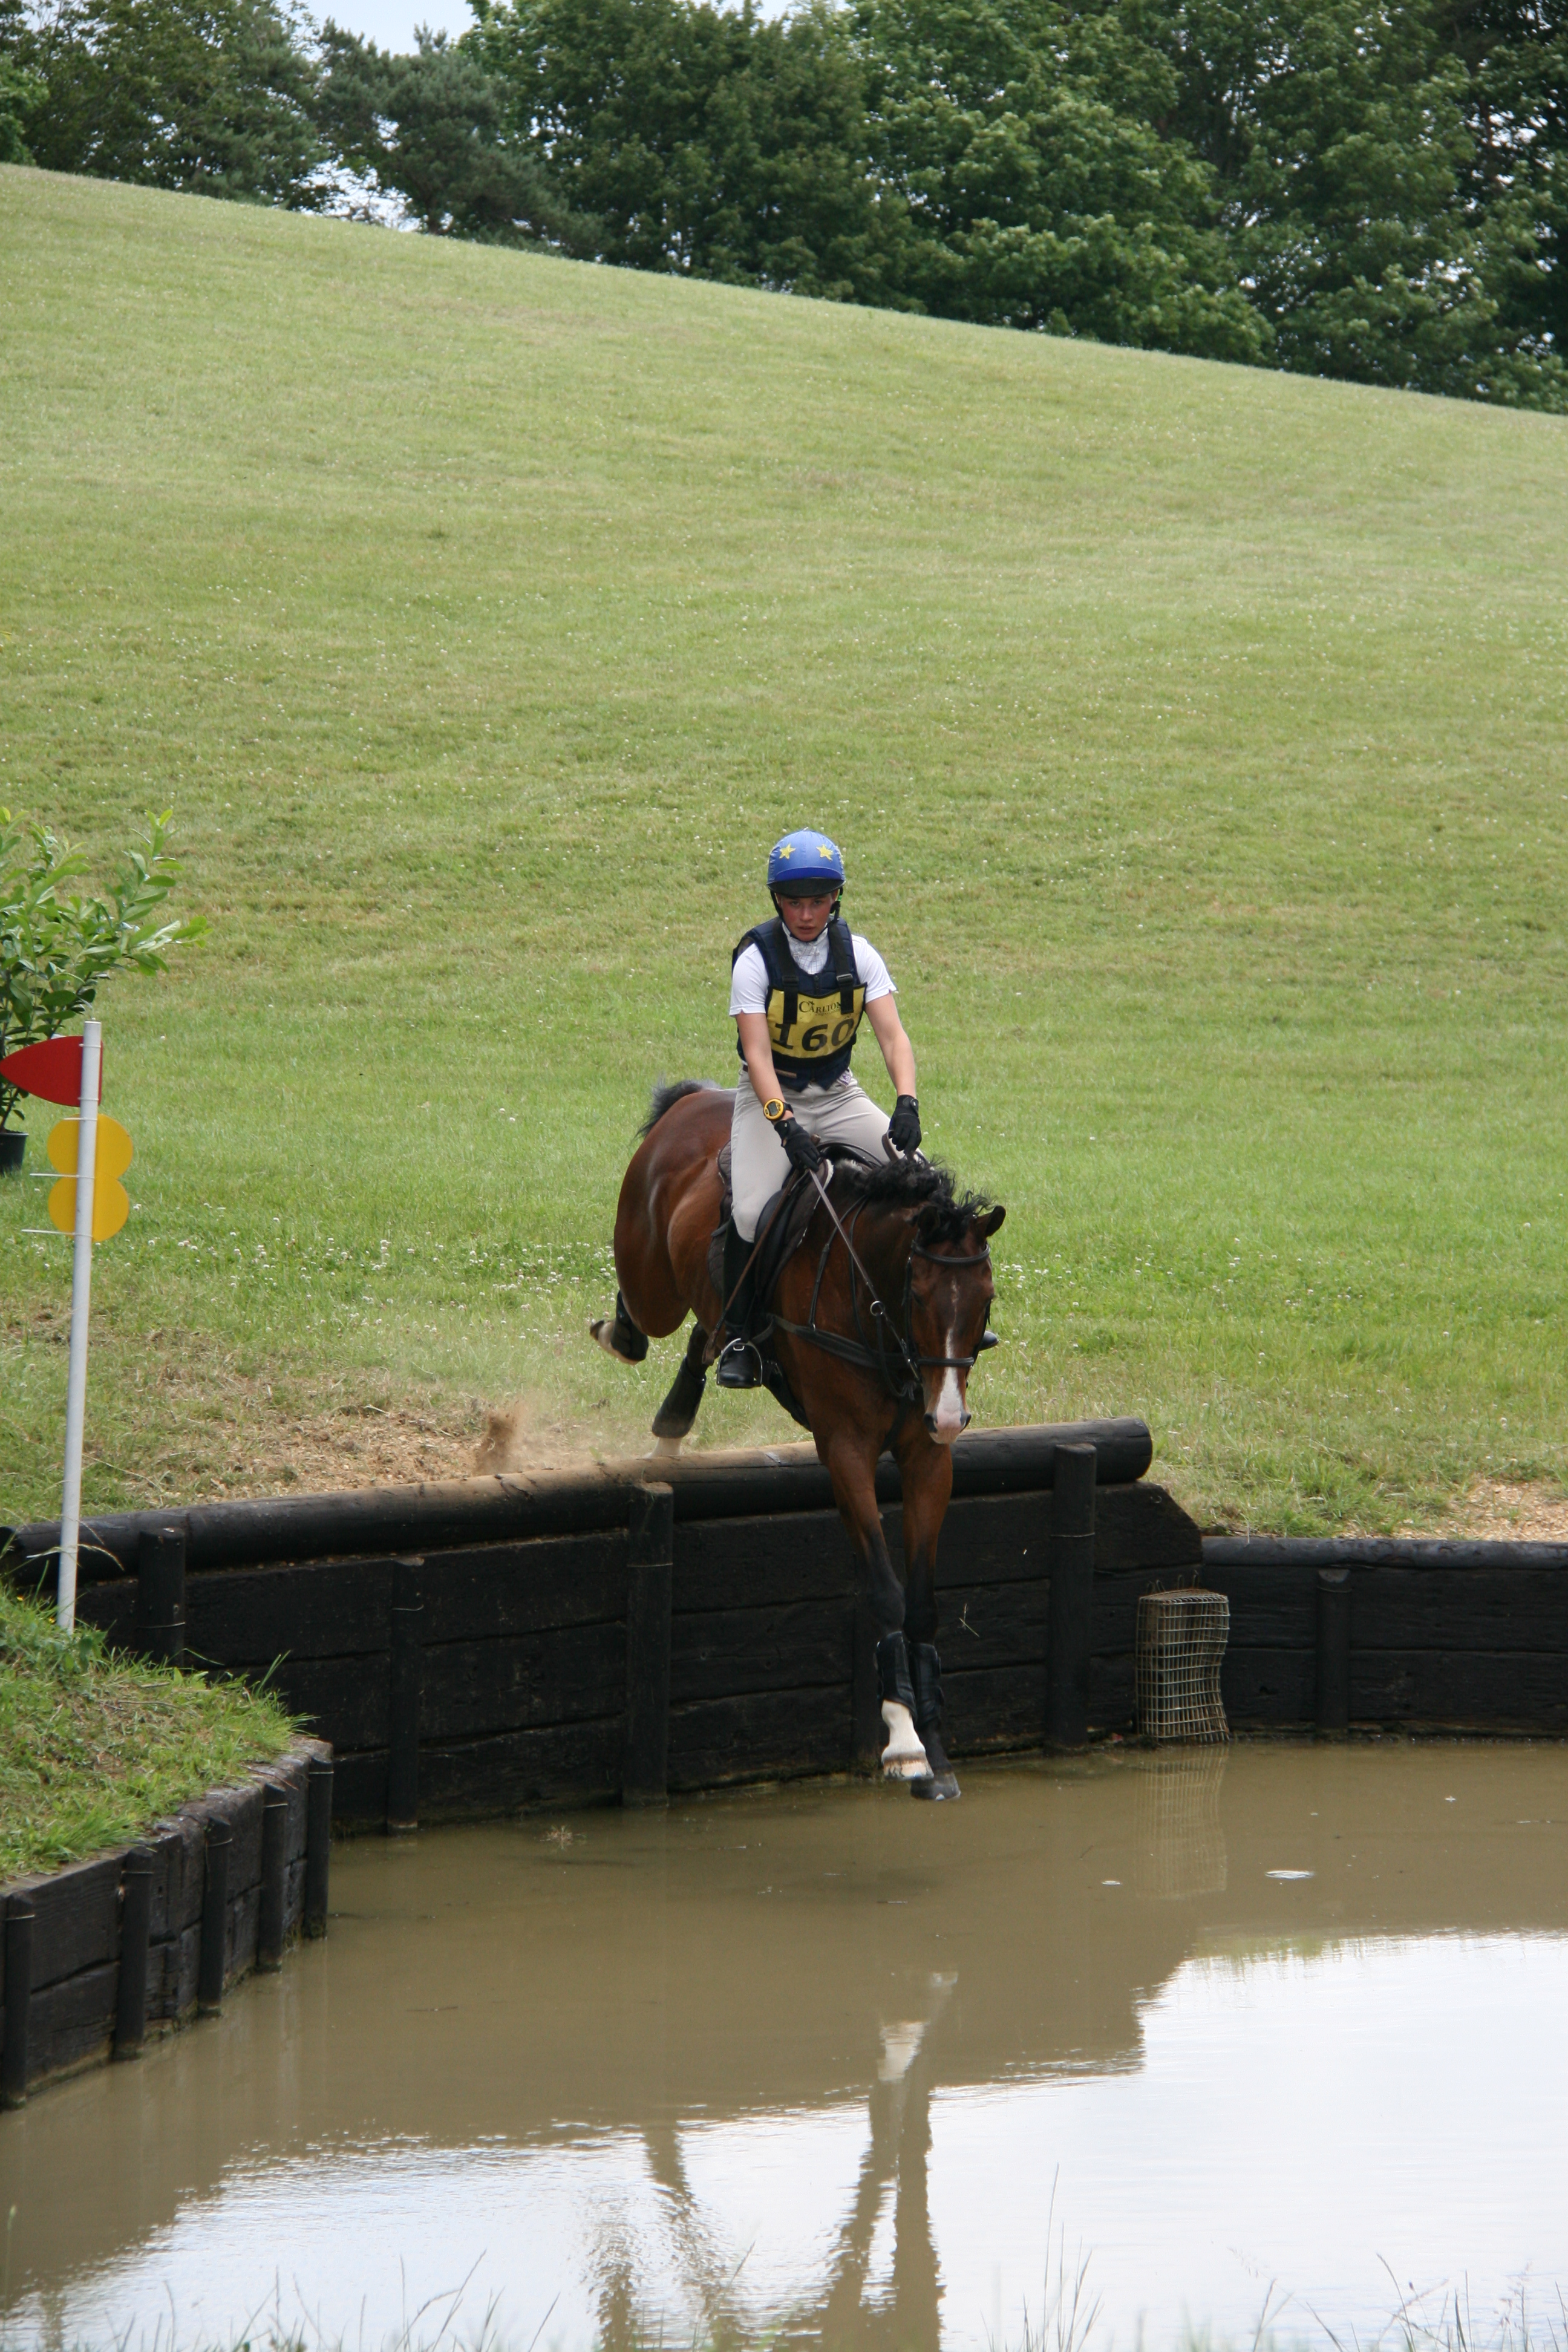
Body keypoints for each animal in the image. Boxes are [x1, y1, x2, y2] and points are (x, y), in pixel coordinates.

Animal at [590, 1079, 1004, 1799]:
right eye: (920, 1297)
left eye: (986, 1301)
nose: (951, 1417)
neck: (878, 1314)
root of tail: (696, 1098)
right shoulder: (845, 1451)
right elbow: (886, 1591)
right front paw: (904, 1746)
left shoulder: (927, 1458)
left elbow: (922, 1603)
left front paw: (937, 1746)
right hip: (651, 1274)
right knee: (646, 1314)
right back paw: (622, 1337)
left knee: (705, 1333)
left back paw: (675, 1426)